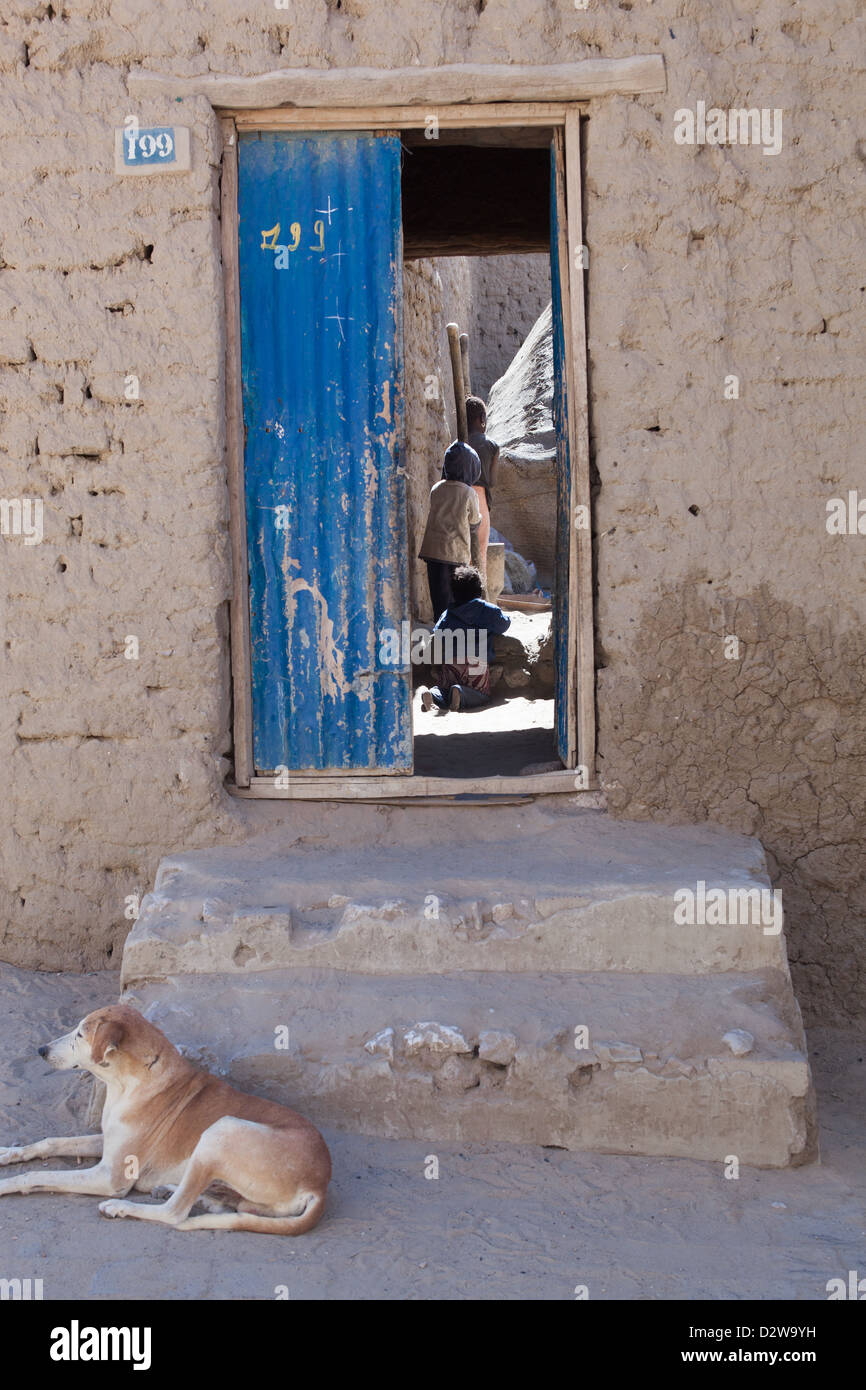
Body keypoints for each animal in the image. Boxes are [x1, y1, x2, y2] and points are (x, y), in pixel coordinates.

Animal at [0, 1000, 332, 1239]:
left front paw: (8, 1183)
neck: (129, 1083)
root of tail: (320, 1184)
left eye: (80, 1034)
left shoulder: (111, 1176)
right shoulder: (106, 1141)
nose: (41, 1049)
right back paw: (184, 1192)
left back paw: (123, 1207)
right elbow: (50, 1141)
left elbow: (36, 1175)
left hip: (222, 1130)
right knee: (235, 1205)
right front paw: (8, 1153)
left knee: (175, 1213)